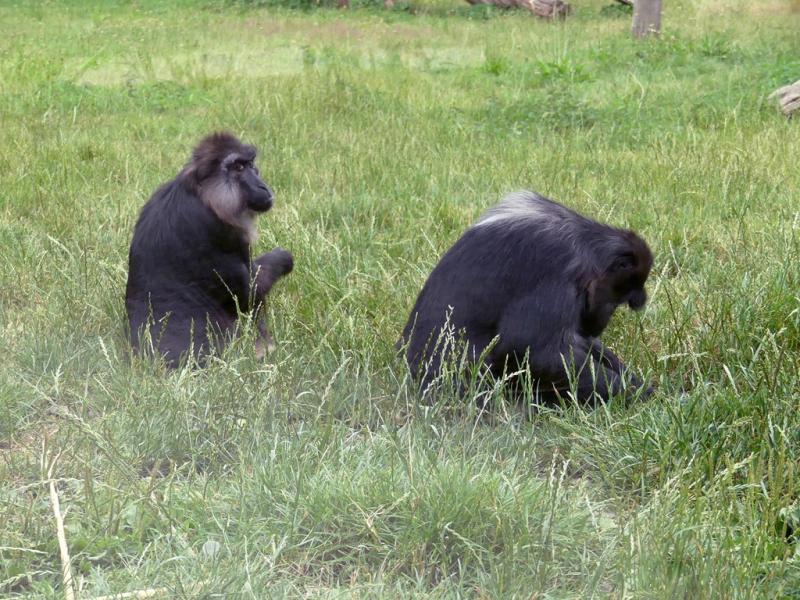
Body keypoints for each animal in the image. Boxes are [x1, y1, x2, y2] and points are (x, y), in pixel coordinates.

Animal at [125, 132, 293, 367]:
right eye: (238, 167)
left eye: (250, 165)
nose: (262, 186)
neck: (200, 193)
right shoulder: (224, 229)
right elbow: (250, 294)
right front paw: (283, 257)